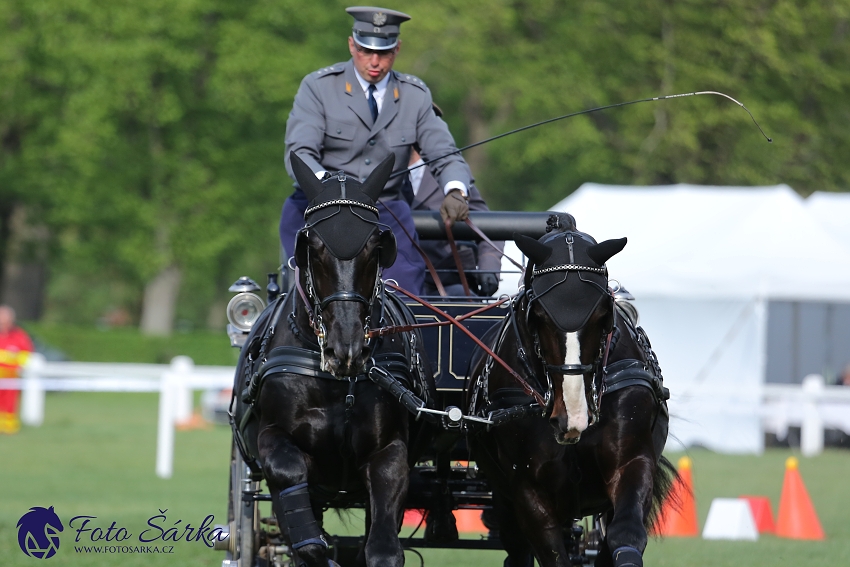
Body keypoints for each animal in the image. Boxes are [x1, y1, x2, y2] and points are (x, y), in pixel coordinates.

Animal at [232, 153, 438, 567]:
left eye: (376, 246)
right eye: (312, 245)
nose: (347, 349)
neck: (335, 384)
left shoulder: (389, 453)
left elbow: (382, 550)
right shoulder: (274, 441)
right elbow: (306, 534)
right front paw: (315, 547)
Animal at [464, 214, 676, 567]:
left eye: (604, 311)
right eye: (538, 314)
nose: (571, 417)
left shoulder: (633, 463)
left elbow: (625, 536)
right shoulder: (528, 489)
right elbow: (551, 554)